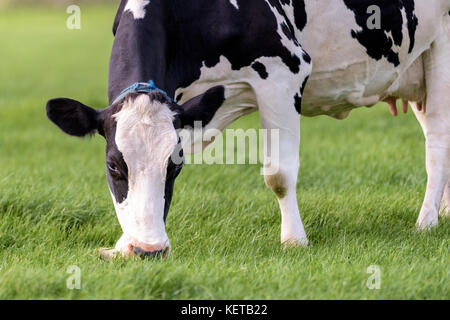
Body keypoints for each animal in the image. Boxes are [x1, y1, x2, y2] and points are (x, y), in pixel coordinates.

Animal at [44, 0, 448, 260]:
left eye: (175, 167)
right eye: (113, 166)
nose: (148, 251)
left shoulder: (284, 71)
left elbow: (279, 174)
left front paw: (294, 241)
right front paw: (122, 244)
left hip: (442, 50)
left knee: (437, 147)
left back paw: (426, 222)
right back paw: (443, 214)